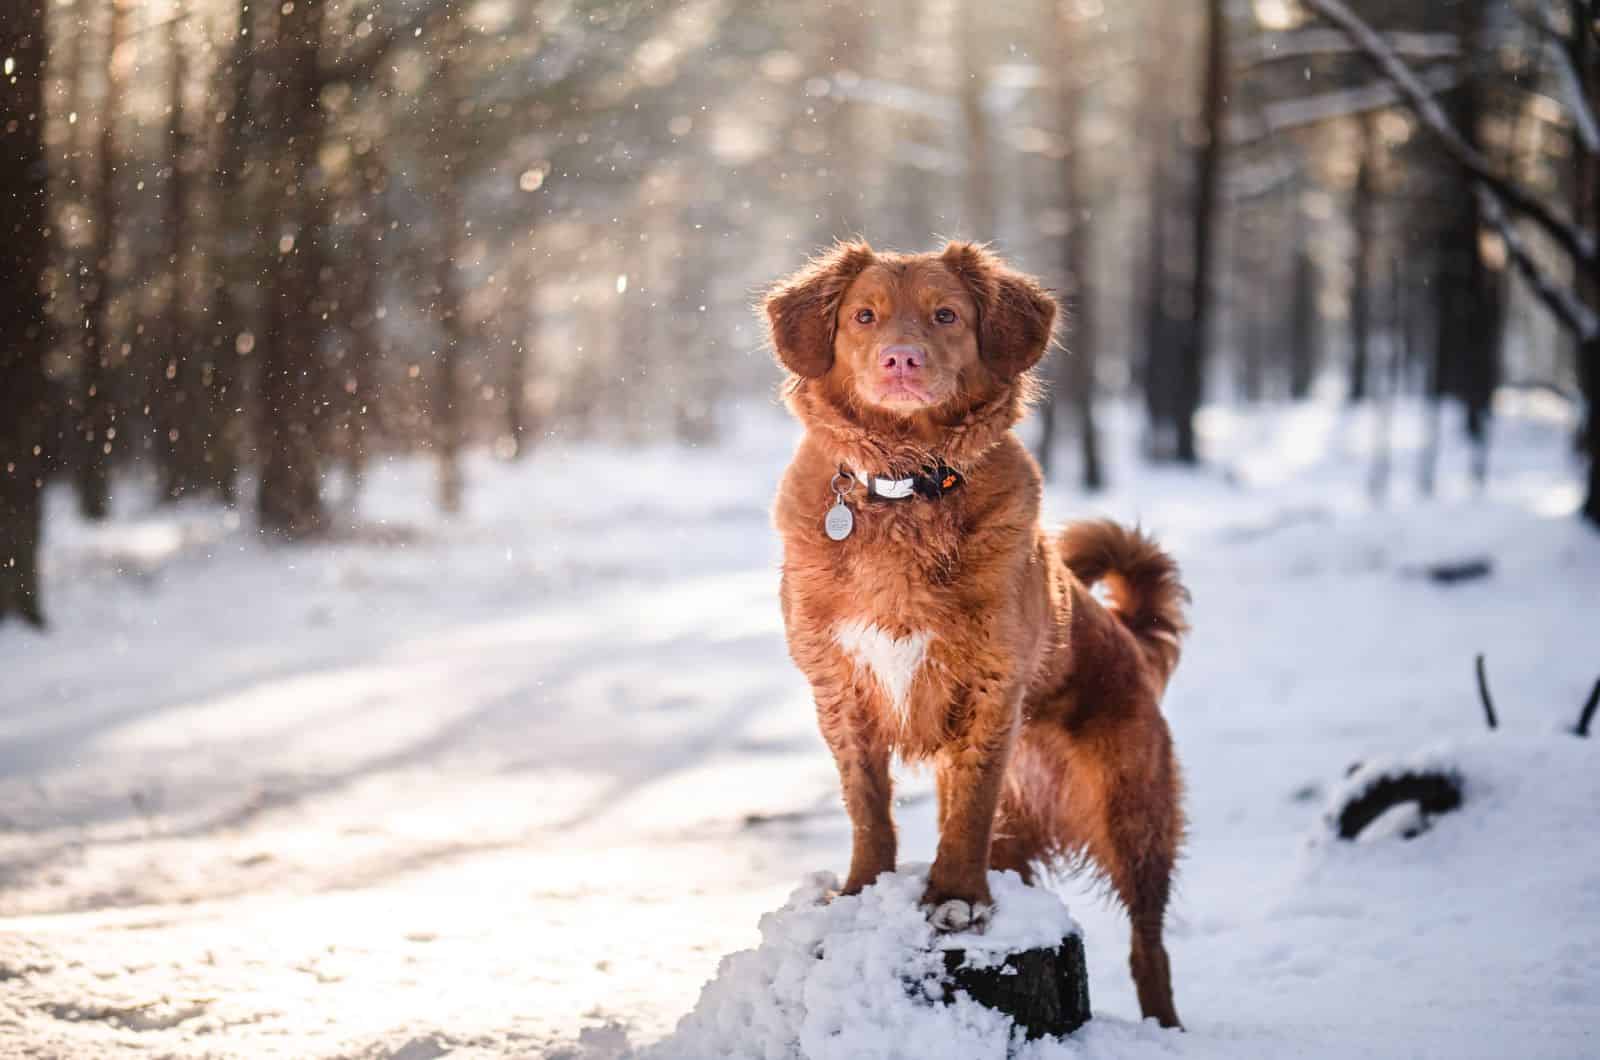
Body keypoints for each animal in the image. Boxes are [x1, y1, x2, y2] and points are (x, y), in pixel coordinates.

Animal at [761, 238, 1190, 1031]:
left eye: (945, 315)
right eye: (864, 315)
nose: (900, 359)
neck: (904, 483)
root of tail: (1128, 639)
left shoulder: (991, 687)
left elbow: (967, 807)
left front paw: (956, 898)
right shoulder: (838, 688)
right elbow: (868, 805)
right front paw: (861, 888)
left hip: (1134, 815)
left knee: (1149, 946)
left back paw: (1164, 1025)